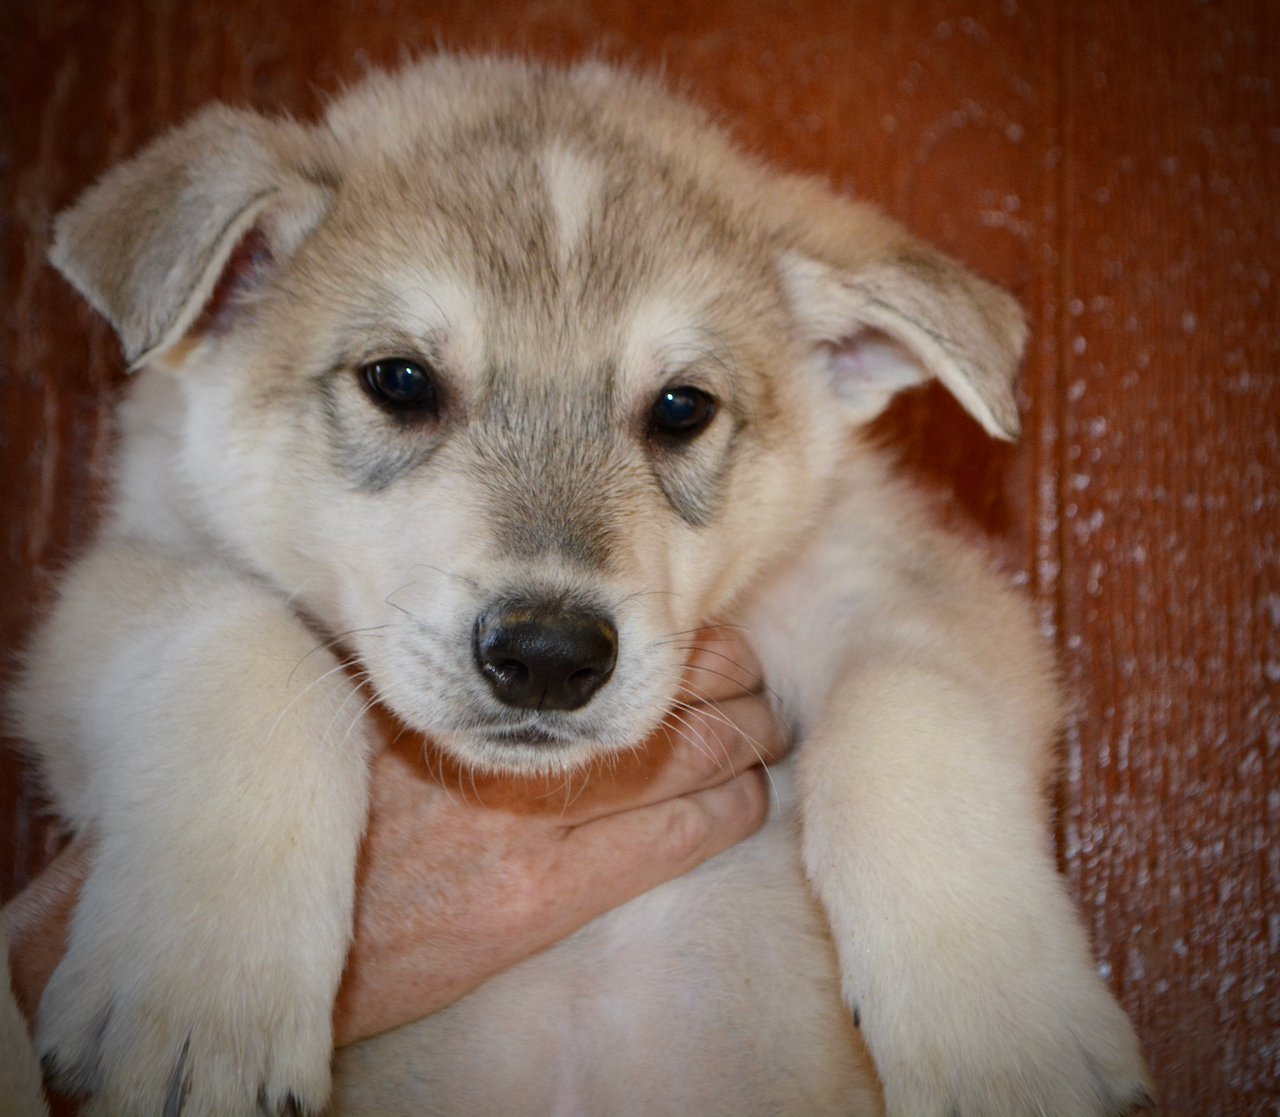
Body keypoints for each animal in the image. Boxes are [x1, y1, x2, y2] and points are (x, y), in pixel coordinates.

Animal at [12, 54, 1152, 1115]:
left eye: (682, 407)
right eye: (399, 381)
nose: (549, 654)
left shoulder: (902, 587)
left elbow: (908, 708)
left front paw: (998, 1024)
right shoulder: (116, 588)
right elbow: (235, 637)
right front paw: (202, 994)